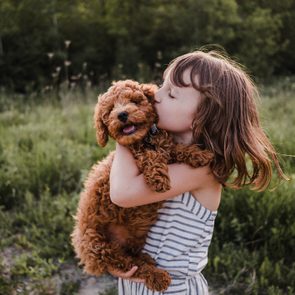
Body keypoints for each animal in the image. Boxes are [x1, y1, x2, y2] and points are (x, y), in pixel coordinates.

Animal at [71, 80, 215, 292]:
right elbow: (149, 156)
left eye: (134, 101)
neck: (145, 139)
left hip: (133, 237)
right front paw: (159, 179)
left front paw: (199, 154)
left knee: (133, 257)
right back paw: (157, 276)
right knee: (131, 265)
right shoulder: (138, 156)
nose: (122, 115)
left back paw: (148, 259)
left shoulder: (165, 147)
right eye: (110, 110)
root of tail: (87, 258)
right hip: (99, 245)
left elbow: (175, 149)